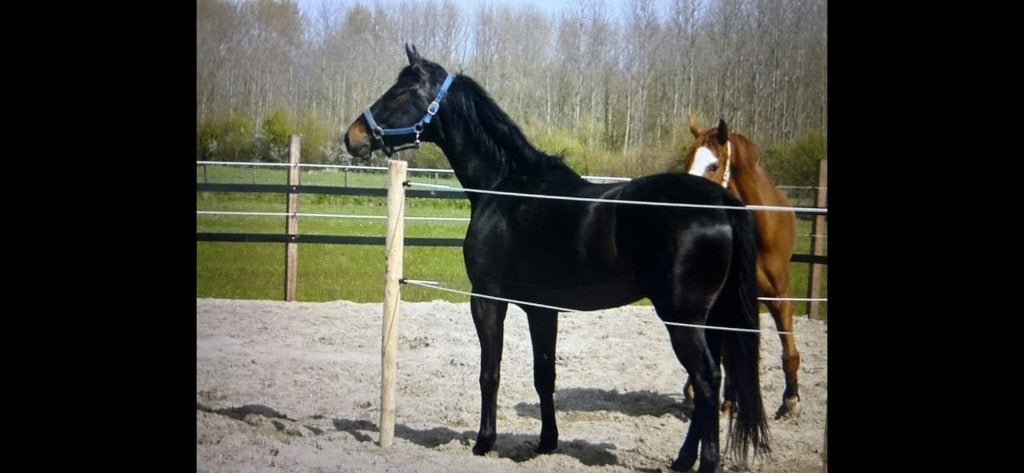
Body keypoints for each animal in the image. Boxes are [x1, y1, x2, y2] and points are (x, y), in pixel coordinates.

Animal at [345, 45, 770, 473]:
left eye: (400, 93)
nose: (353, 137)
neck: (507, 189)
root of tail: (721, 202)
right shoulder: (541, 310)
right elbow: (544, 374)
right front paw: (546, 442)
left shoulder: (486, 299)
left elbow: (490, 373)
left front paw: (484, 442)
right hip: (710, 318)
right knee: (708, 383)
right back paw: (682, 460)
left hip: (682, 318)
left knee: (706, 380)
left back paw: (704, 462)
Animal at [682, 116, 800, 419]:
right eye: (687, 161)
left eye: (714, 165)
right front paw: (728, 401)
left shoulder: (780, 296)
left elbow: (788, 350)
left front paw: (791, 400)